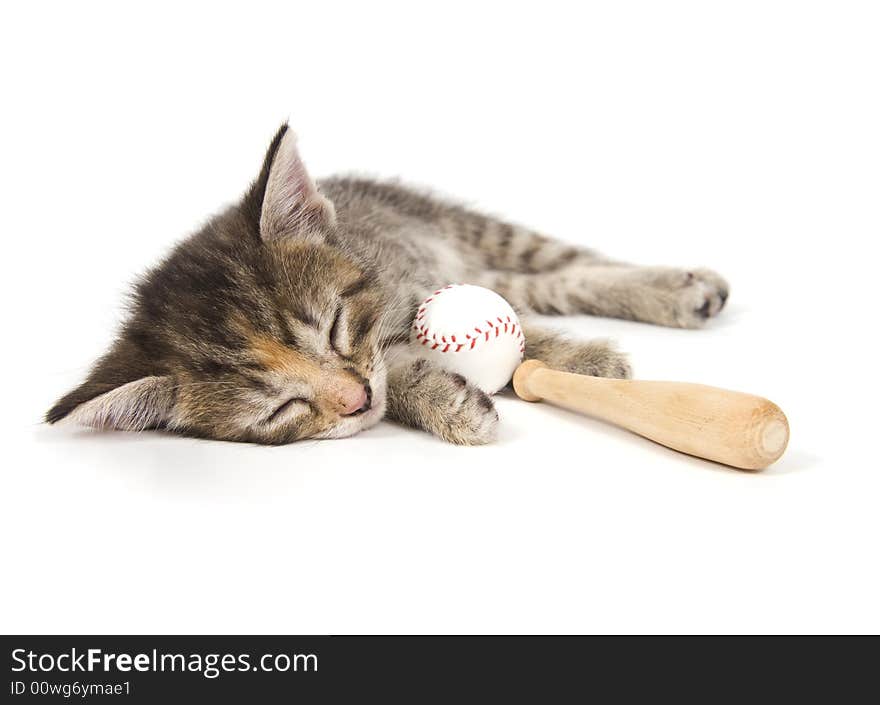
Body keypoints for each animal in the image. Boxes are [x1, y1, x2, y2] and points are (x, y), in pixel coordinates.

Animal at [44, 125, 724, 446]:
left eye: (333, 327)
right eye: (280, 408)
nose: (355, 402)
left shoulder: (414, 289)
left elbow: (519, 337)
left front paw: (583, 361)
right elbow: (400, 373)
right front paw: (447, 402)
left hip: (469, 230)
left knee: (571, 265)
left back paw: (679, 288)